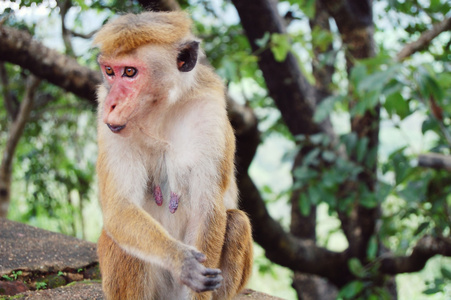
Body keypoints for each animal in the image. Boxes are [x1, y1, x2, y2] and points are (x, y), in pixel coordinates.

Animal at [93, 10, 254, 298]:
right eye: (109, 71)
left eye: (130, 72)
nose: (112, 103)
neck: (160, 111)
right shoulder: (106, 124)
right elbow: (120, 207)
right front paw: (180, 260)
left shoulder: (209, 113)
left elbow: (206, 209)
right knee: (120, 235)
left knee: (237, 222)